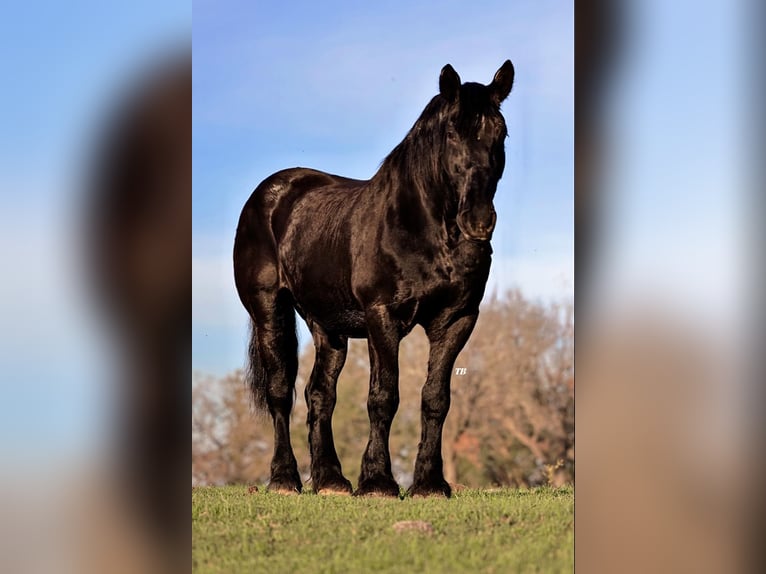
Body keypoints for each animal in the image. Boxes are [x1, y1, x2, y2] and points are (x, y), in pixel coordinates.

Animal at [234, 60, 516, 498]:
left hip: (328, 328)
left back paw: (331, 480)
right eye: (452, 133)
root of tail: (271, 192)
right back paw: (285, 479)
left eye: (501, 134)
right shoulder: (382, 317)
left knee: (319, 395)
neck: (423, 230)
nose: (479, 221)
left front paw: (429, 484)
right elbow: (384, 396)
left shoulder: (457, 320)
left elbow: (436, 399)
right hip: (270, 312)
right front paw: (378, 481)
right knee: (280, 392)